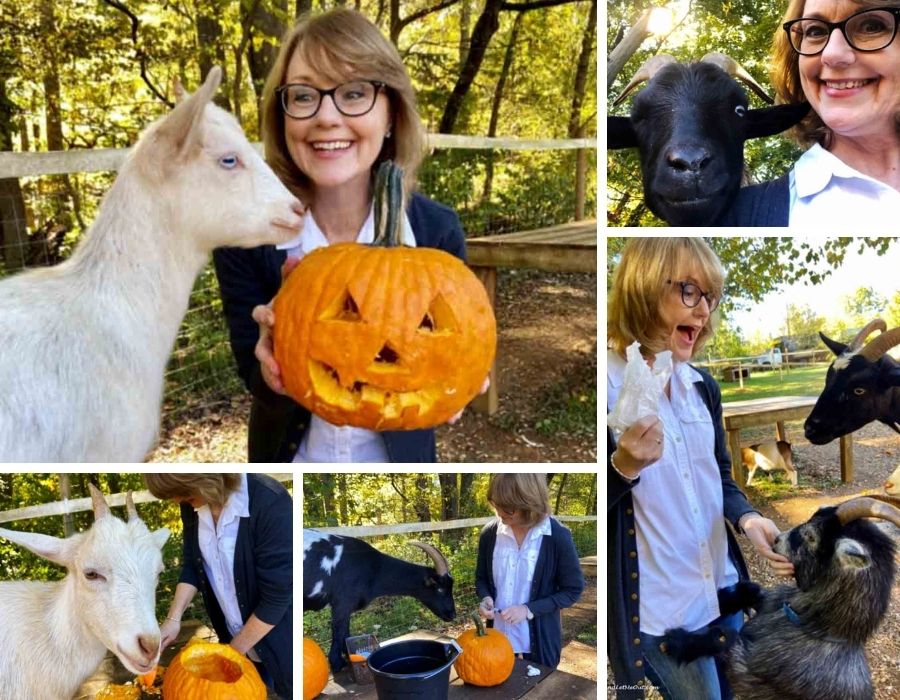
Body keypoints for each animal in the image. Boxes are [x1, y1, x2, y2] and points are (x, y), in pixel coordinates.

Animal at [304, 532, 458, 672]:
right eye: (440, 588)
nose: (452, 615)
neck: (373, 568)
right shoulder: (342, 604)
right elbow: (339, 633)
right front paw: (337, 664)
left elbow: (346, 634)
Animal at [660, 498, 900, 700]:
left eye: (811, 536)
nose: (776, 539)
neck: (814, 627)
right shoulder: (770, 601)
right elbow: (751, 590)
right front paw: (714, 600)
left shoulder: (748, 675)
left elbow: (723, 639)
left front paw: (676, 642)